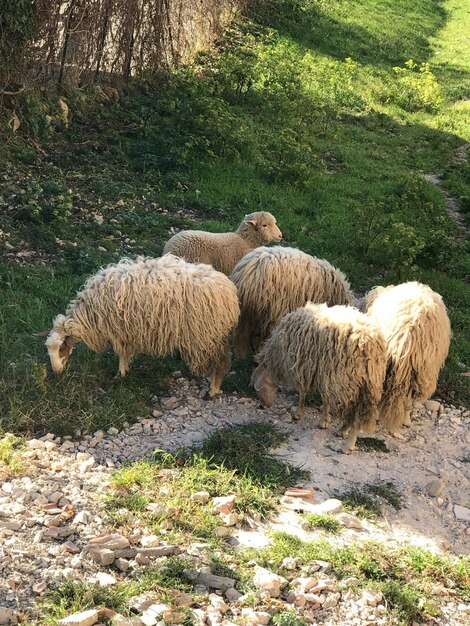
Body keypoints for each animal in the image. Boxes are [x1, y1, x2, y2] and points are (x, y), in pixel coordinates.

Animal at [46, 254, 241, 394]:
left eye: (62, 348)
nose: (56, 372)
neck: (90, 312)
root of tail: (229, 291)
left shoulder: (120, 331)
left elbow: (122, 354)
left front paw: (120, 374)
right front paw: (123, 372)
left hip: (207, 337)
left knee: (220, 363)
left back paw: (213, 390)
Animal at [252, 302, 388, 450]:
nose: (264, 406)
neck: (275, 361)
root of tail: (370, 344)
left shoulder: (302, 367)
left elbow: (302, 393)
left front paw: (298, 414)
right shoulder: (324, 373)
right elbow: (325, 398)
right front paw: (324, 421)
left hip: (349, 381)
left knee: (356, 415)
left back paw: (348, 445)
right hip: (367, 383)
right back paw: (343, 430)